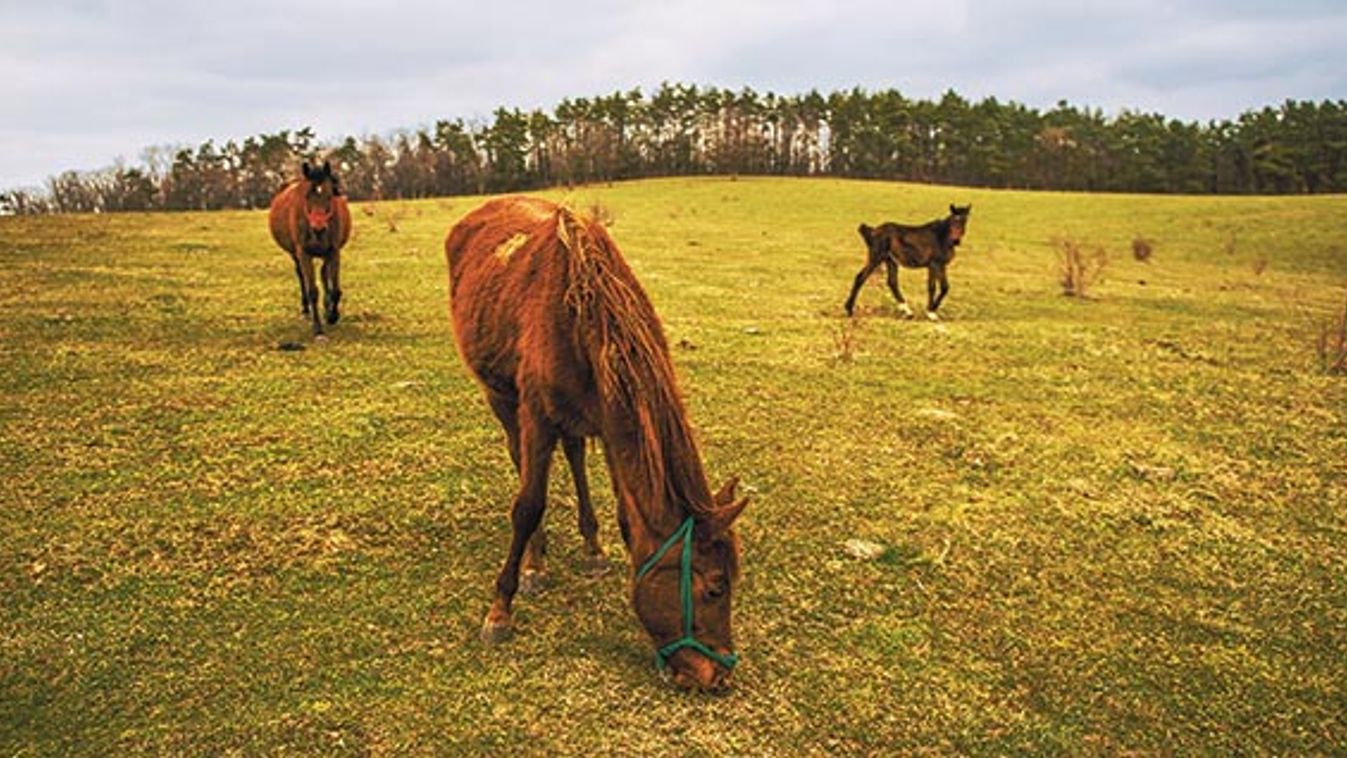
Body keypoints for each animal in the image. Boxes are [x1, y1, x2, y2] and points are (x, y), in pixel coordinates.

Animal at [266, 161, 352, 336]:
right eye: (306, 196)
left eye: (329, 195)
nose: (318, 227)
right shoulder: (304, 253)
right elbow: (312, 290)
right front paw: (318, 328)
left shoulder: (334, 251)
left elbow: (336, 289)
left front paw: (332, 315)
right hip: (296, 255)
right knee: (301, 276)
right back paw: (306, 309)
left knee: (324, 274)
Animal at [449, 197, 748, 694]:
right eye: (714, 587)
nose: (718, 675)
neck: (581, 317)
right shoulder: (535, 414)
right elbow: (528, 504)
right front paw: (500, 609)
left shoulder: (610, 423)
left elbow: (625, 514)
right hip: (500, 397)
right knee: (521, 461)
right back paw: (535, 560)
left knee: (571, 454)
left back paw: (588, 547)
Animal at [840, 203, 969, 319]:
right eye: (953, 220)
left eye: (964, 221)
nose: (956, 240)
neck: (941, 236)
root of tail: (873, 231)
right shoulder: (934, 264)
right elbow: (935, 287)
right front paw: (931, 312)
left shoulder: (939, 265)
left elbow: (942, 287)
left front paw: (931, 310)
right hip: (876, 258)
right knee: (861, 278)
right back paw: (849, 310)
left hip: (890, 261)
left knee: (892, 282)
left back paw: (907, 312)